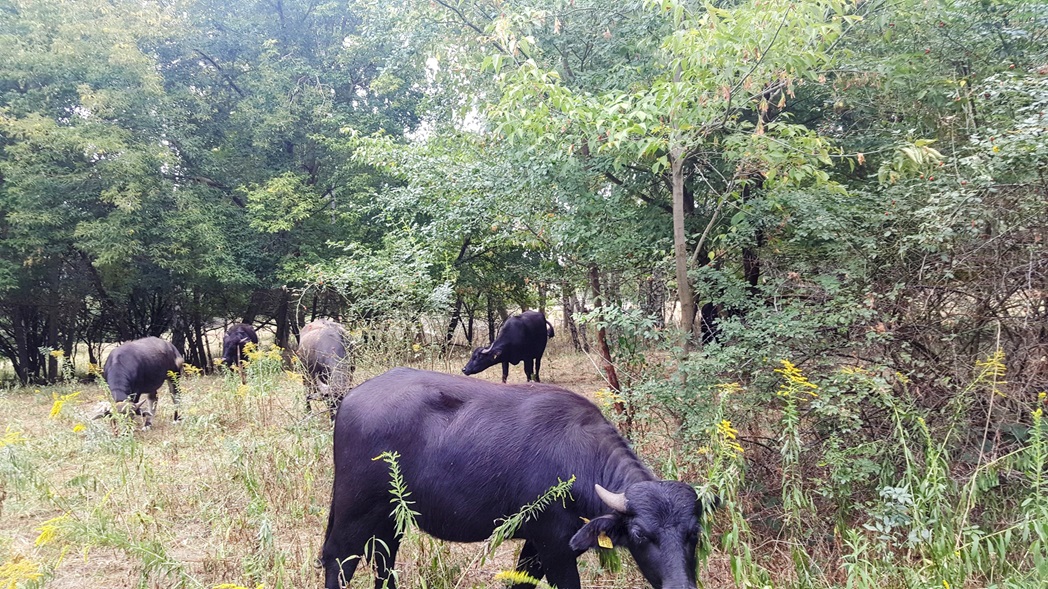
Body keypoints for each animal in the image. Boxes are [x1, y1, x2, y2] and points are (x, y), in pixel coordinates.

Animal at [318, 366, 712, 586]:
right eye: (640, 534)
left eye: (693, 534)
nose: (680, 586)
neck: (576, 459)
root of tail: (350, 398)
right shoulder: (554, 546)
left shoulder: (536, 546)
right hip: (355, 510)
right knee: (338, 560)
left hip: (391, 516)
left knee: (384, 561)